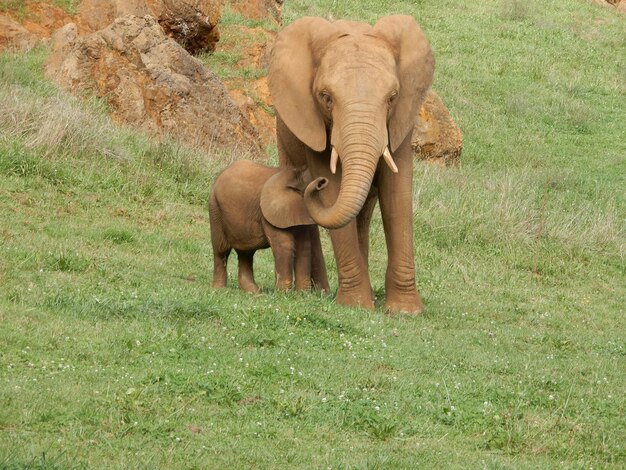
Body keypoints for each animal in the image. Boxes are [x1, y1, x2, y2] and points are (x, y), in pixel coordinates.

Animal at [208, 162, 330, 294]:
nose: (322, 181)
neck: (294, 176)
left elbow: (304, 246)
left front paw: (301, 294)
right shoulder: (269, 213)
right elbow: (284, 245)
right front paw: (283, 294)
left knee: (246, 253)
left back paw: (254, 293)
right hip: (215, 208)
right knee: (222, 250)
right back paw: (219, 290)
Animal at [266, 14, 432, 316]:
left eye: (392, 97)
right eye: (326, 97)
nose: (313, 183)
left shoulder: (402, 119)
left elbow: (397, 194)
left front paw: (404, 312)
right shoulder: (312, 121)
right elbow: (333, 189)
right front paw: (356, 306)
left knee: (363, 213)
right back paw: (318, 292)